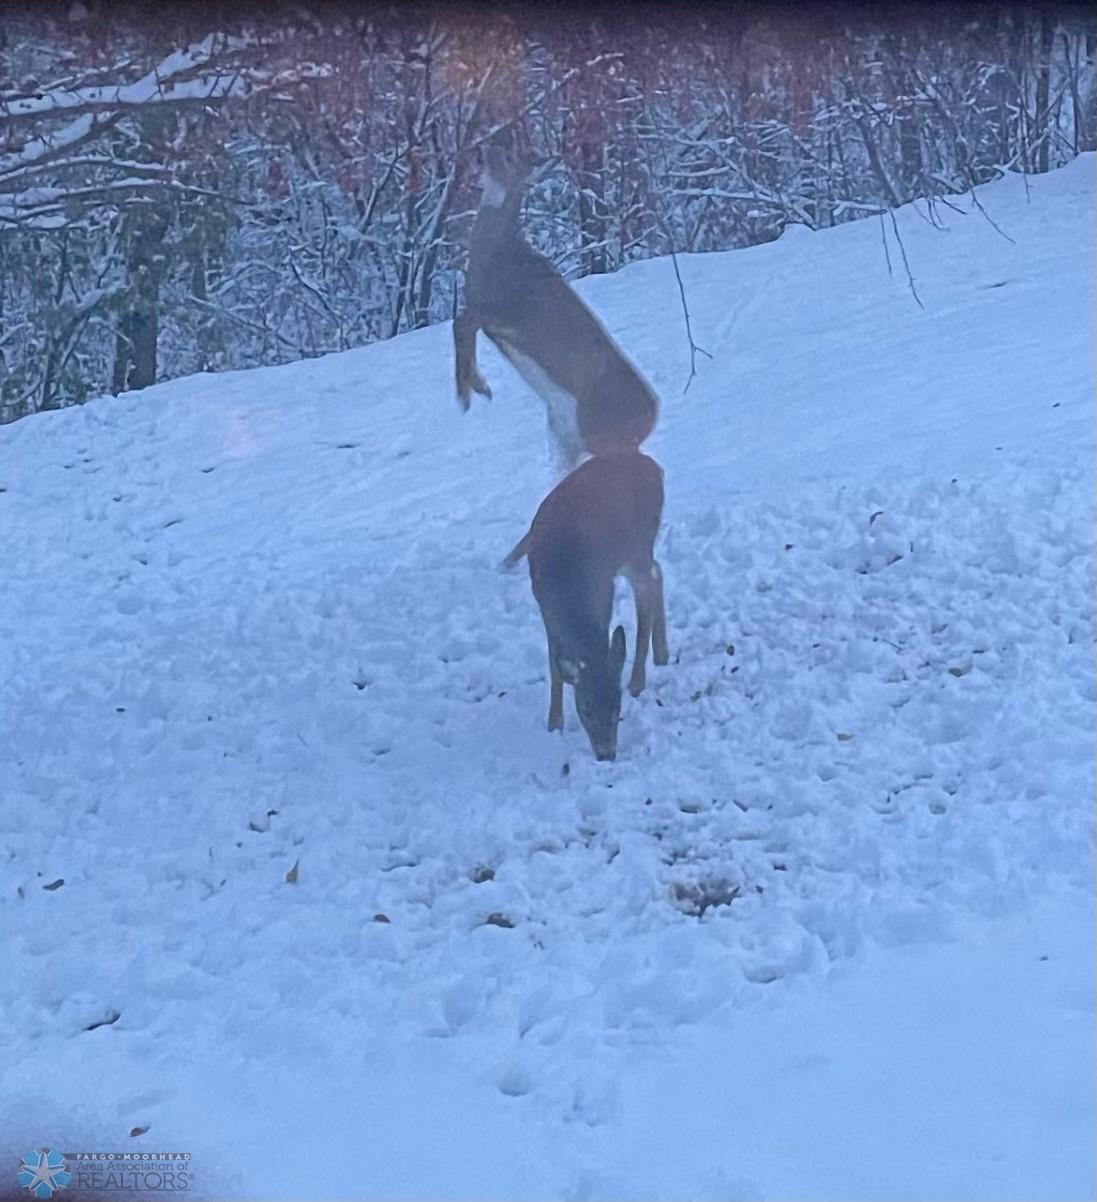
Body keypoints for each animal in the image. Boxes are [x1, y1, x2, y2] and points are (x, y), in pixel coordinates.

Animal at [453, 129, 659, 470]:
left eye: (509, 156)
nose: (478, 153)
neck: (498, 251)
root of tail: (652, 417)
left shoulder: (499, 309)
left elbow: (458, 326)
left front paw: (471, 392)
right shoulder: (486, 314)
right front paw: (476, 389)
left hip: (594, 433)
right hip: (564, 436)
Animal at [503, 450, 669, 761]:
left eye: (617, 708)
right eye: (586, 711)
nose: (606, 755)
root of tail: (655, 467)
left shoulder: (603, 595)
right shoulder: (544, 607)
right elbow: (554, 666)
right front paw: (554, 722)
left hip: (637, 545)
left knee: (648, 589)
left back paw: (639, 678)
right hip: (636, 552)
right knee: (658, 572)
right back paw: (662, 654)